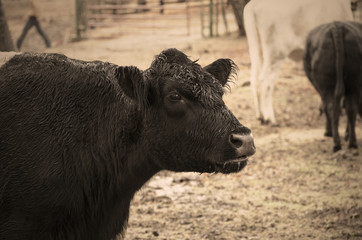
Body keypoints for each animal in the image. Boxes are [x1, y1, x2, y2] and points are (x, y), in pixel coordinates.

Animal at [304, 20, 360, 152]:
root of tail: (337, 26)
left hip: (329, 87)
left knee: (333, 107)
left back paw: (337, 142)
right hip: (353, 83)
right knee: (350, 108)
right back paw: (351, 142)